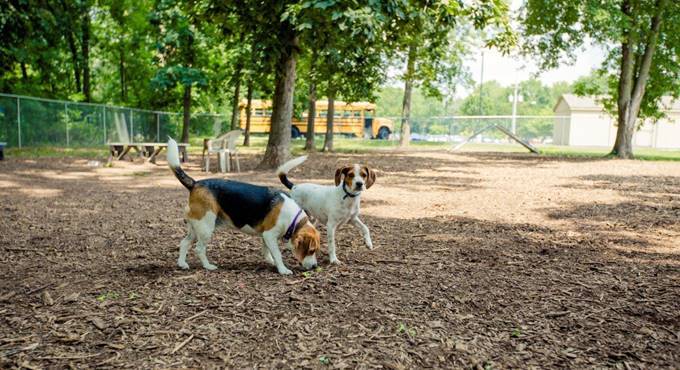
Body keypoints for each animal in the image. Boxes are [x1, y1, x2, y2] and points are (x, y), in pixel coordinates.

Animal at [167, 139, 322, 274]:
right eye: (311, 251)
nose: (315, 267)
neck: (293, 220)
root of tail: (195, 183)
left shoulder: (266, 236)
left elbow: (267, 251)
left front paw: (271, 262)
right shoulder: (270, 235)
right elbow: (277, 254)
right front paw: (283, 269)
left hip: (196, 227)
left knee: (184, 243)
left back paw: (182, 264)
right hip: (206, 227)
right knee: (199, 248)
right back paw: (208, 266)